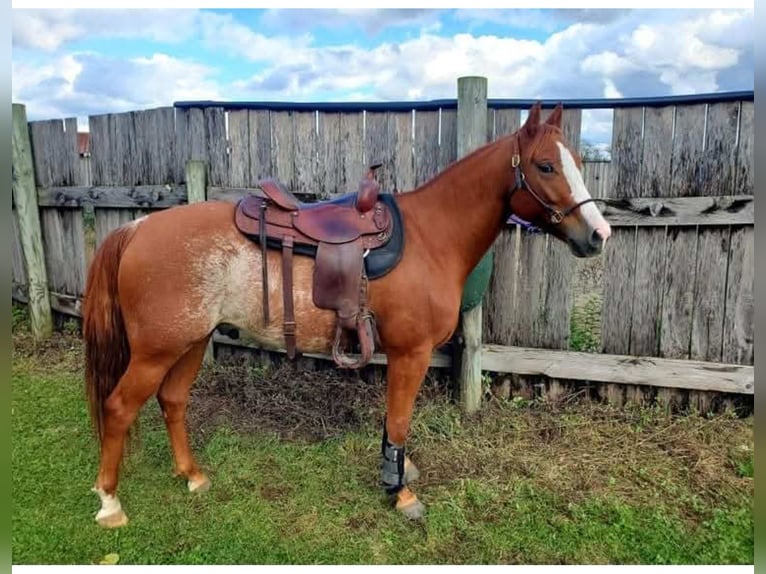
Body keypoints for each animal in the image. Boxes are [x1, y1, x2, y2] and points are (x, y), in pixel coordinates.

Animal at [82, 102, 612, 528]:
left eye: (577, 162)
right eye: (546, 165)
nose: (598, 235)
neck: (430, 236)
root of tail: (136, 227)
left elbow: (393, 420)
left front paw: (397, 470)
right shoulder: (411, 353)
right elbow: (399, 421)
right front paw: (400, 491)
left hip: (190, 342)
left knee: (172, 401)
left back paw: (191, 475)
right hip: (156, 351)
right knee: (118, 407)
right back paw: (109, 503)